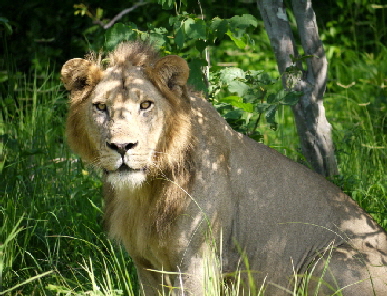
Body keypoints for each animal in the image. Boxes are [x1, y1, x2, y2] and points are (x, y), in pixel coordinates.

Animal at [61, 41, 387, 296]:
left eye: (145, 105)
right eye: (100, 107)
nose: (122, 146)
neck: (145, 192)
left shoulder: (197, 261)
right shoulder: (146, 265)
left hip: (330, 261)